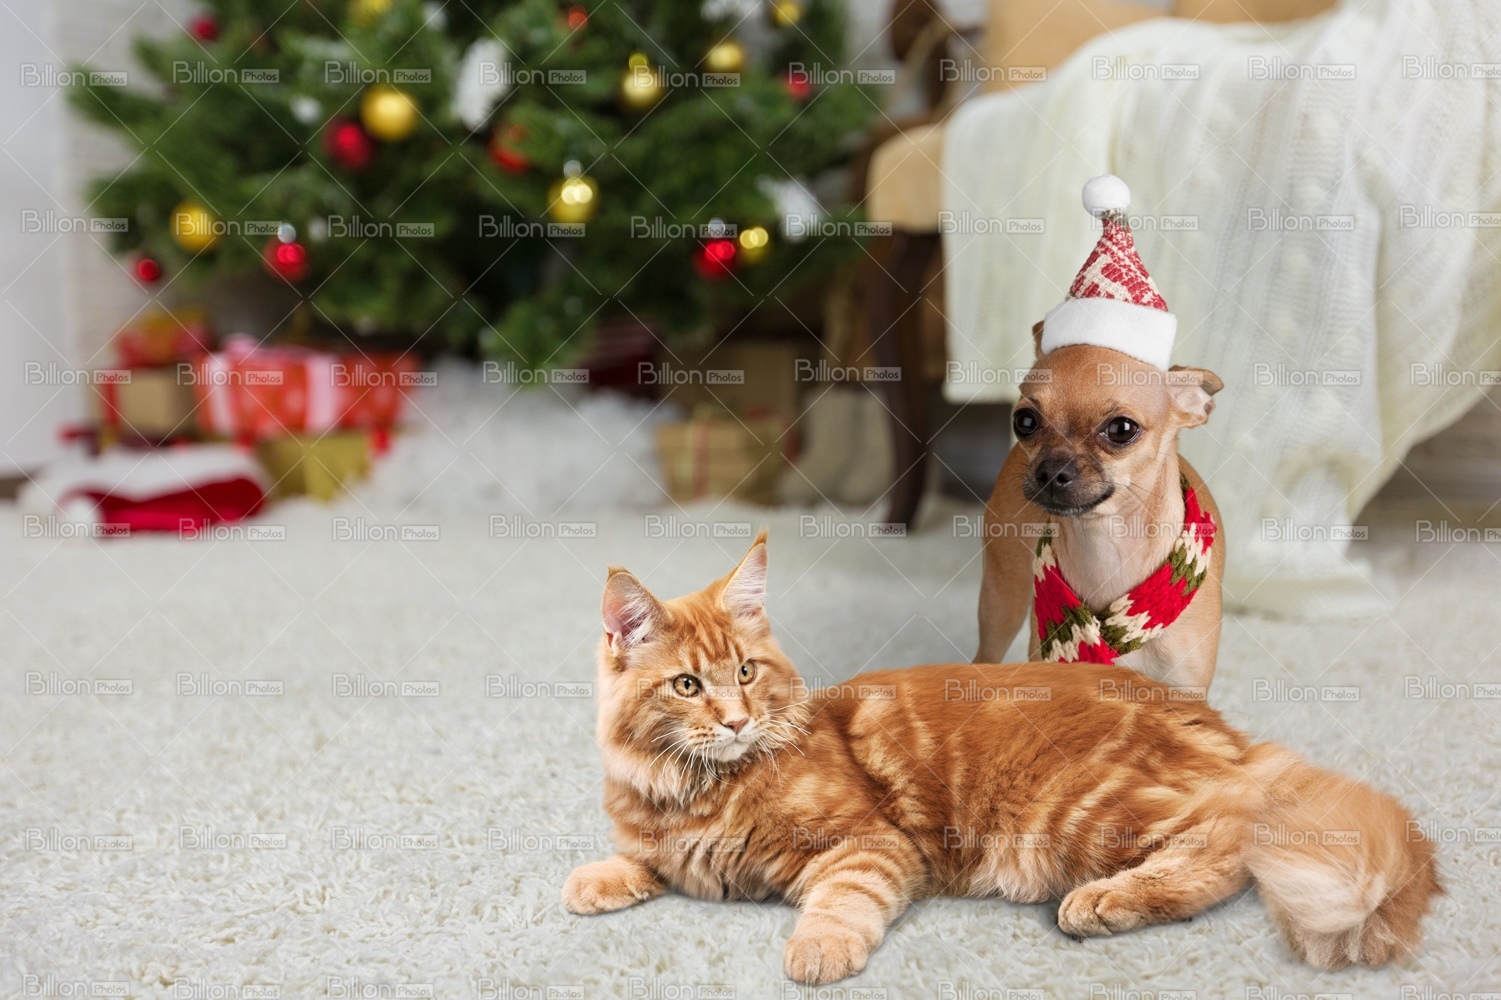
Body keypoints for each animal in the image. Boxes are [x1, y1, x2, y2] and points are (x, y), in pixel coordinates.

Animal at [564, 532, 1440, 985]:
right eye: (687, 685)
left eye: (744, 673)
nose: (739, 719)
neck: (698, 790)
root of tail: (1207, 719)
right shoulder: (667, 841)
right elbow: (639, 859)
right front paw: (594, 879)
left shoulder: (868, 844)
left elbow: (841, 901)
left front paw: (817, 950)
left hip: (1077, 810)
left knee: (1227, 844)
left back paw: (1102, 903)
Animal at [976, 322, 1225, 692]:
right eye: (1024, 421)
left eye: (1122, 429)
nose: (1052, 470)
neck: (1106, 544)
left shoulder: (1185, 689)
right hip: (1002, 600)